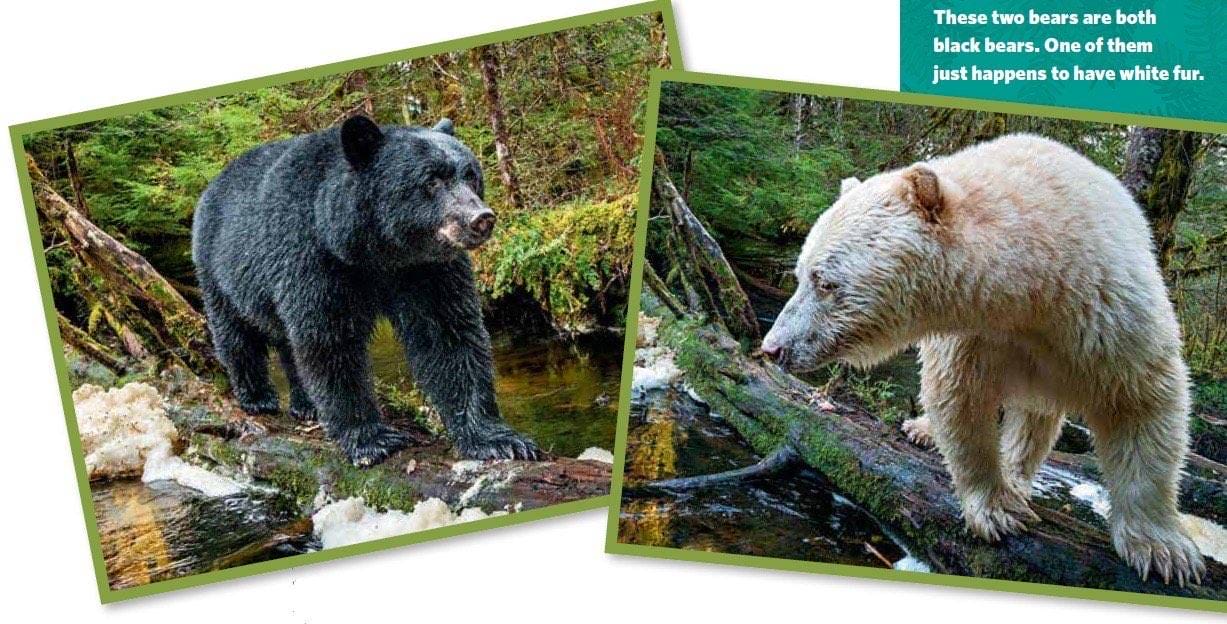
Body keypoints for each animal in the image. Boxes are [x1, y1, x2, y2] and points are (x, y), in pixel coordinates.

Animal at [191, 115, 539, 467]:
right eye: (431, 180)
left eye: (471, 175)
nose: (482, 218)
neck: (374, 250)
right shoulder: (312, 258)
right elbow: (329, 341)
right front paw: (372, 440)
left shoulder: (426, 270)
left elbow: (449, 335)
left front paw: (499, 440)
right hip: (220, 270)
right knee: (236, 334)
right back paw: (257, 397)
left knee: (286, 342)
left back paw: (306, 405)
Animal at [760, 133, 1204, 585]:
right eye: (800, 274)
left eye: (824, 282)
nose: (773, 347)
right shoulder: (974, 335)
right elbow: (960, 401)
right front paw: (998, 511)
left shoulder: (1107, 313)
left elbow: (1142, 402)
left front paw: (1164, 551)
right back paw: (923, 430)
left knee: (1036, 419)